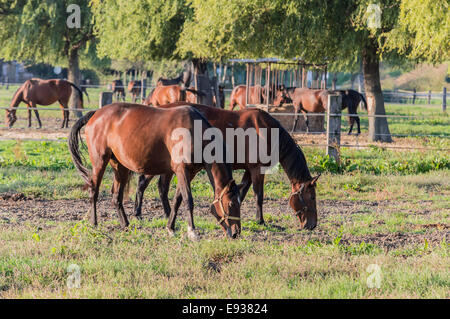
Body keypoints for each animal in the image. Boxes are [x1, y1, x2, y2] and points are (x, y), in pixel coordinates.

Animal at [67, 104, 243, 239]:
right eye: (231, 203)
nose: (236, 233)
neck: (195, 131)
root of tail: (97, 113)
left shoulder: (189, 172)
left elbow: (177, 200)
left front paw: (171, 228)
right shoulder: (182, 170)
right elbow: (188, 200)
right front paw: (192, 232)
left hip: (119, 166)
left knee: (116, 197)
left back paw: (125, 225)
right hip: (100, 162)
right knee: (94, 191)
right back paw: (94, 223)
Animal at [135, 102, 322, 230]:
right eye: (312, 197)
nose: (312, 225)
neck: (266, 132)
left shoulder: (248, 170)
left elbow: (242, 192)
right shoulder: (257, 169)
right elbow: (258, 195)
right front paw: (260, 220)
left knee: (160, 186)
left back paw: (164, 214)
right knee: (145, 183)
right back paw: (139, 214)